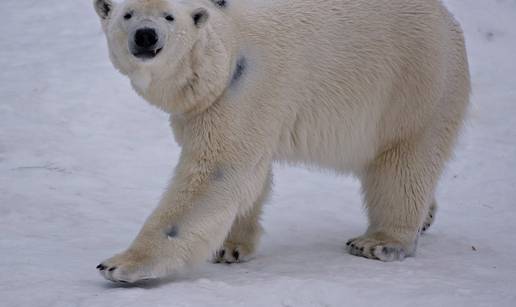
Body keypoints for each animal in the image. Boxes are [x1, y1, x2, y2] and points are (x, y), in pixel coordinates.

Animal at [93, 0, 472, 284]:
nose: (145, 36)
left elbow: (215, 174)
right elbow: (247, 178)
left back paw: (379, 242)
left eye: (168, 16)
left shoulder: (240, 89)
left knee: (402, 165)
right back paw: (427, 216)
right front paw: (231, 247)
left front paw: (119, 264)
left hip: (413, 86)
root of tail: (450, 22)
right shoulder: (201, 111)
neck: (224, 52)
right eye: (127, 14)